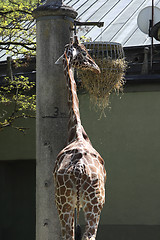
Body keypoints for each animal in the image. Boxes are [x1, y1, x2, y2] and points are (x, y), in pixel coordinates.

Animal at [53, 35, 107, 240]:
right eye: (84, 52)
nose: (96, 67)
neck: (77, 132)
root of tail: (79, 169)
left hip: (66, 203)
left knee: (69, 235)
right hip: (92, 203)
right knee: (87, 236)